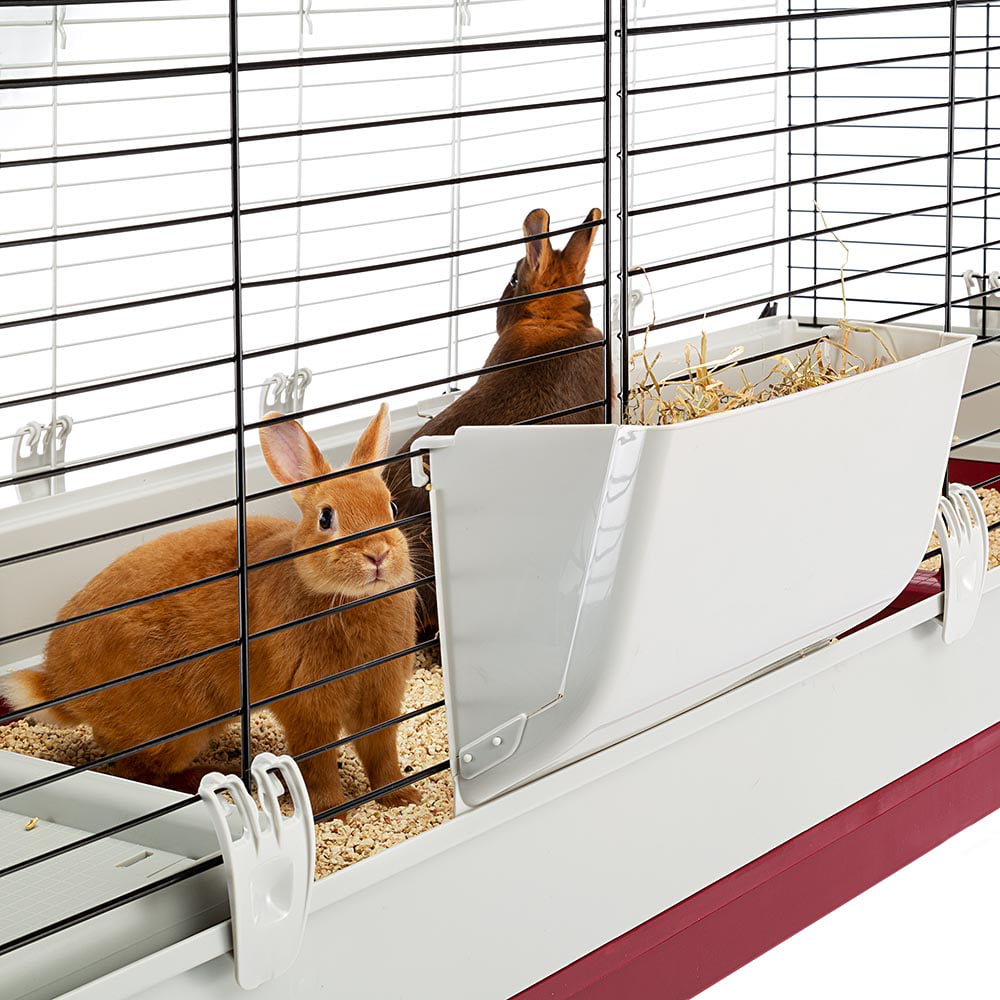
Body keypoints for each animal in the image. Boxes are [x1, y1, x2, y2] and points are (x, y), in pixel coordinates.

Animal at [0, 405, 420, 815]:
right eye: (325, 517)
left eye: (391, 506)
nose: (377, 554)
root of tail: (59, 684)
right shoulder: (307, 706)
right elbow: (317, 765)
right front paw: (334, 810)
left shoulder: (381, 699)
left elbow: (382, 752)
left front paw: (403, 797)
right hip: (177, 728)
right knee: (136, 770)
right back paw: (204, 776)